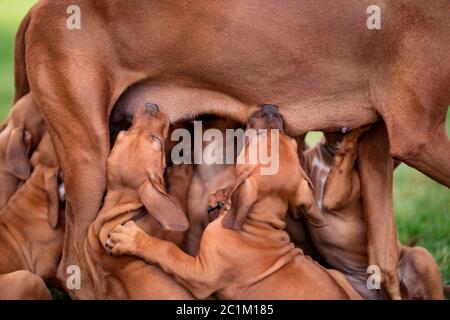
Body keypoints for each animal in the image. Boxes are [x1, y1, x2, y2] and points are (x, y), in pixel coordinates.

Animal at [105, 105, 362, 300]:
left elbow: (166, 250)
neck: (256, 225)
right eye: (288, 140)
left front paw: (130, 238)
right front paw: (220, 198)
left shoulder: (200, 274)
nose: (271, 108)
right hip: (337, 276)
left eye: (258, 138)